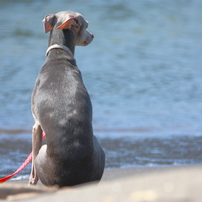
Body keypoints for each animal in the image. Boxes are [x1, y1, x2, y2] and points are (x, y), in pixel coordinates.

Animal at [29, 10, 106, 188]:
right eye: (87, 25)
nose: (93, 35)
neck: (59, 56)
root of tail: (72, 180)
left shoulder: (36, 125)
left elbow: (32, 167)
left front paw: (31, 182)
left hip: (43, 153)